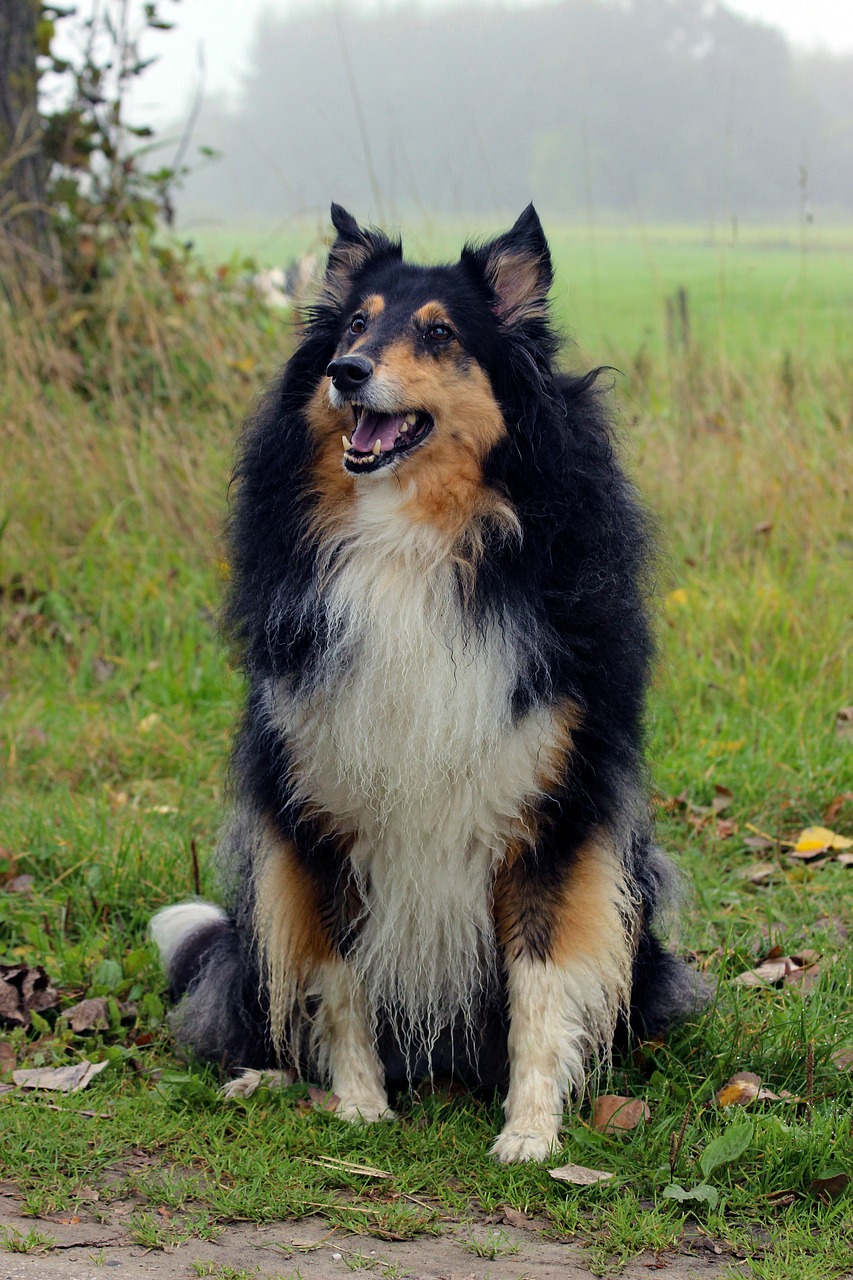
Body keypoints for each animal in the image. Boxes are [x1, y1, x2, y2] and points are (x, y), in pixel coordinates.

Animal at [151, 199, 696, 1162]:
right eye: (355, 325)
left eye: (440, 334)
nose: (346, 373)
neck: (410, 541)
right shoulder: (319, 807)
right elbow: (337, 978)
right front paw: (359, 1106)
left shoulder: (550, 806)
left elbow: (539, 983)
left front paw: (530, 1134)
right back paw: (264, 1080)